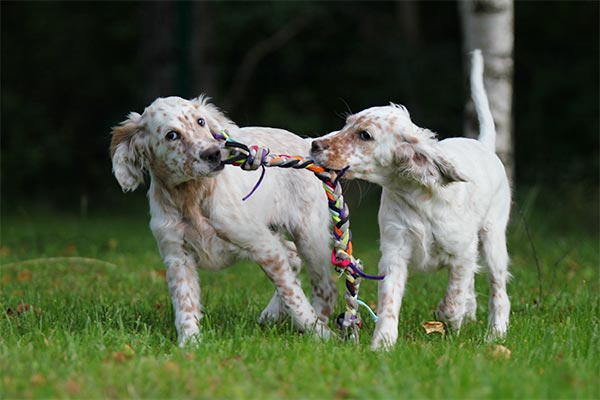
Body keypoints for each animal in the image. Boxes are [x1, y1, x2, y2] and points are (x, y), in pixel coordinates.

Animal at [110, 95, 336, 346]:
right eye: (172, 135)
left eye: (200, 121)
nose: (214, 154)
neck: (192, 197)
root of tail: (307, 144)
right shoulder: (177, 257)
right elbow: (185, 304)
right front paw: (189, 343)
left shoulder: (263, 246)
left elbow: (293, 294)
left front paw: (319, 333)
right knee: (294, 258)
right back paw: (270, 315)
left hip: (309, 235)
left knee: (325, 288)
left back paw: (316, 325)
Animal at [310, 50, 510, 350]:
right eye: (346, 124)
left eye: (365, 135)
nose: (315, 144)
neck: (418, 196)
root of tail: (483, 145)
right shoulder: (394, 251)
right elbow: (389, 301)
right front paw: (382, 343)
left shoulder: (462, 251)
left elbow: (452, 299)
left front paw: (450, 319)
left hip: (493, 237)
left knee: (499, 290)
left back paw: (495, 333)